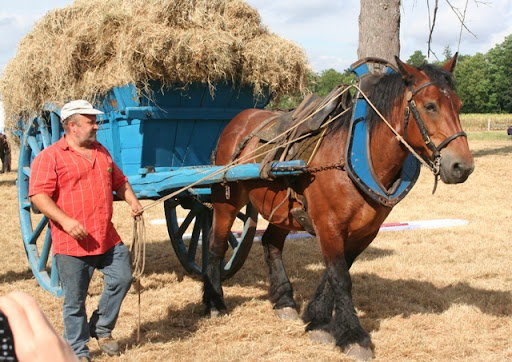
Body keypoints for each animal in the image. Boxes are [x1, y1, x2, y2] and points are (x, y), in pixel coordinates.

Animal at [202, 55, 474, 360]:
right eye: (430, 106)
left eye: (459, 105)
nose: (461, 166)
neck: (354, 157)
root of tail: (239, 120)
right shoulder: (328, 226)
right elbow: (341, 277)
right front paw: (353, 336)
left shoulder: (364, 232)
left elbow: (336, 273)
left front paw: (318, 319)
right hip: (227, 201)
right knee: (216, 245)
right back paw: (214, 303)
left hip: (283, 209)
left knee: (271, 243)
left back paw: (284, 301)